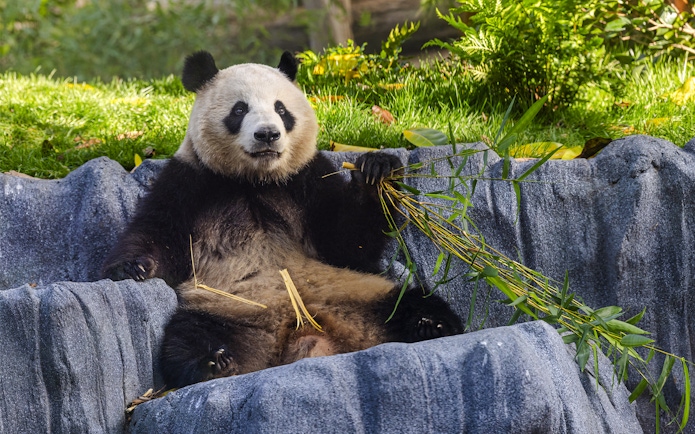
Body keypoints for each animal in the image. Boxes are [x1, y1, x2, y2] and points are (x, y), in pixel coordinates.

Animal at [102, 50, 462, 388]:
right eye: (239, 110)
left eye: (281, 110)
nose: (267, 135)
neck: (254, 180)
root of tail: (301, 332)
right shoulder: (191, 179)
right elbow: (159, 230)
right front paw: (131, 267)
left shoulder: (307, 178)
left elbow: (346, 242)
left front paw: (378, 171)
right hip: (226, 308)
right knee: (187, 338)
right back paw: (214, 362)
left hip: (358, 293)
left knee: (412, 302)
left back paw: (431, 325)